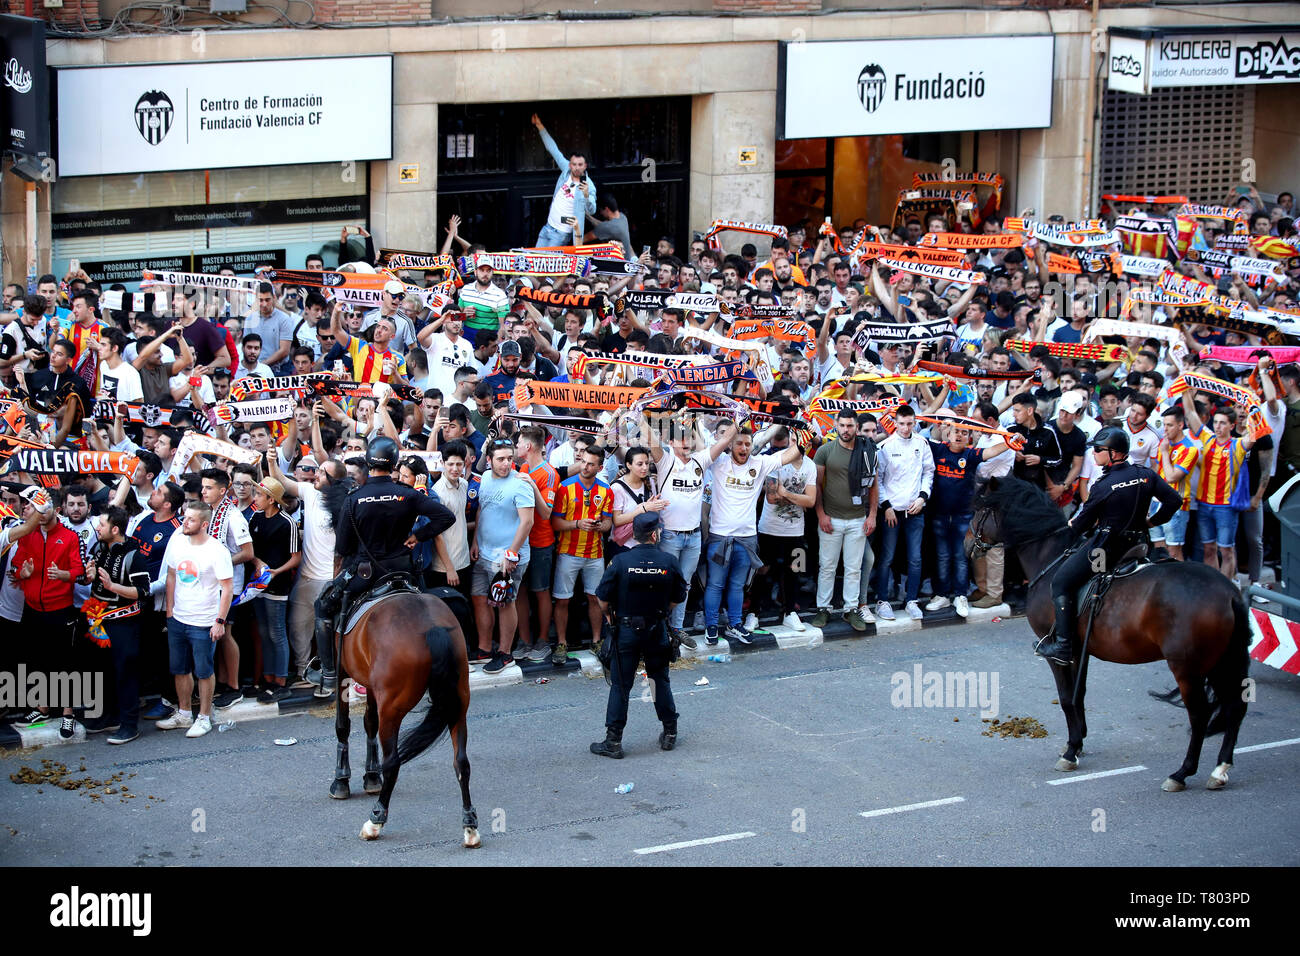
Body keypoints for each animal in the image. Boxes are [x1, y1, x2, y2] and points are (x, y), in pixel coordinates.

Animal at [330, 590, 483, 853]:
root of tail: (433, 626)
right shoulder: (371, 685)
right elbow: (369, 722)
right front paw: (371, 777)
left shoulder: (342, 671)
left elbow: (343, 725)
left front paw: (341, 780)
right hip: (458, 704)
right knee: (461, 763)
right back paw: (470, 828)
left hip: (392, 708)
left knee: (393, 762)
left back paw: (375, 821)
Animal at [972, 476, 1253, 790]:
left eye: (979, 509)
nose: (969, 544)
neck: (1051, 557)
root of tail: (1229, 592)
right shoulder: (1080, 650)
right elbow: (1079, 695)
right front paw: (1078, 742)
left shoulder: (1058, 652)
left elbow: (1067, 697)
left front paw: (1071, 751)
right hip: (1222, 661)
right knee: (1235, 707)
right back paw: (1220, 769)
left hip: (1188, 667)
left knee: (1200, 715)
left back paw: (1181, 773)